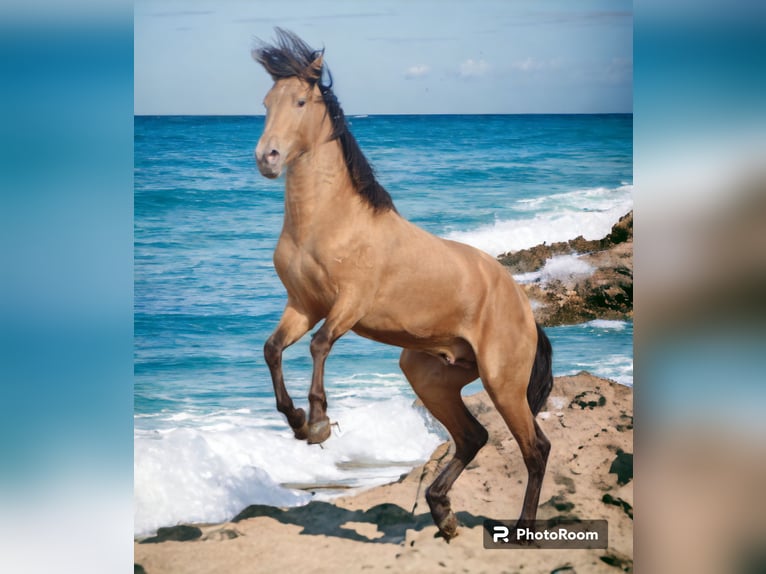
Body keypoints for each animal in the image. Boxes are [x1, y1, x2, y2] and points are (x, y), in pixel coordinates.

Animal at [255, 29, 556, 544]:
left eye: (300, 101)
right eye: (265, 103)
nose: (267, 158)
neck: (329, 221)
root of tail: (523, 307)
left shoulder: (347, 306)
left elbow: (318, 345)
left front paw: (318, 424)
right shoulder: (302, 305)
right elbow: (273, 349)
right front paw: (295, 421)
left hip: (503, 382)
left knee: (534, 449)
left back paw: (520, 530)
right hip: (429, 374)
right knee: (474, 437)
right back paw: (442, 512)